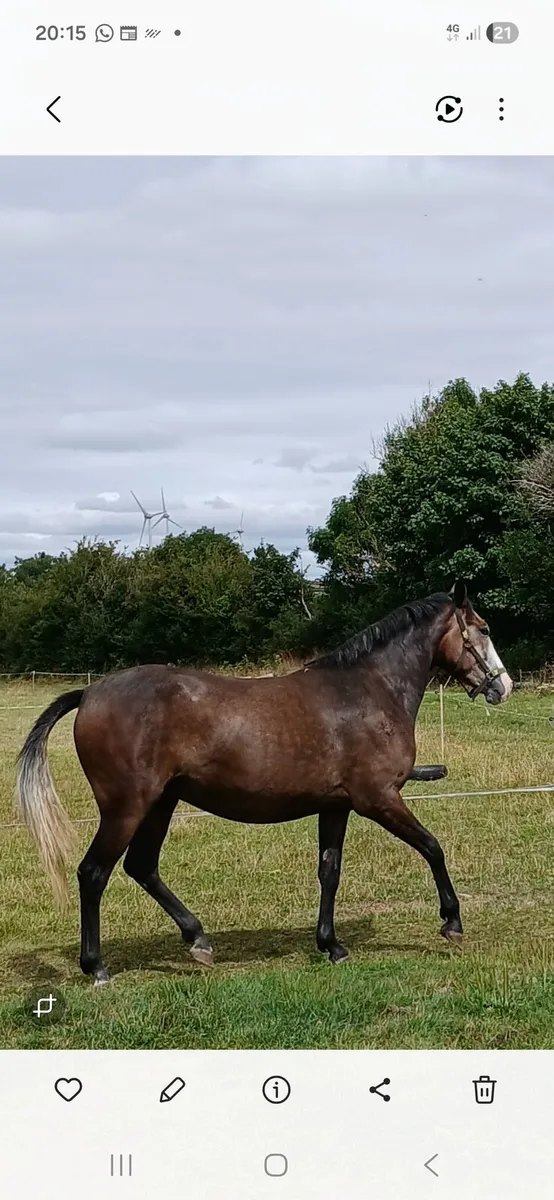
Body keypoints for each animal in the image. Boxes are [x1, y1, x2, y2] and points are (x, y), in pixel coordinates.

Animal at [16, 580, 512, 985]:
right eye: (484, 629)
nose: (503, 686)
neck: (370, 691)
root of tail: (90, 692)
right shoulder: (379, 799)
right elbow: (432, 847)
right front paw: (452, 922)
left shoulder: (336, 805)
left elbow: (329, 871)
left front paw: (331, 944)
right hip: (126, 808)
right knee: (93, 873)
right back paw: (97, 967)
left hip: (160, 803)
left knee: (142, 867)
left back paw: (198, 940)